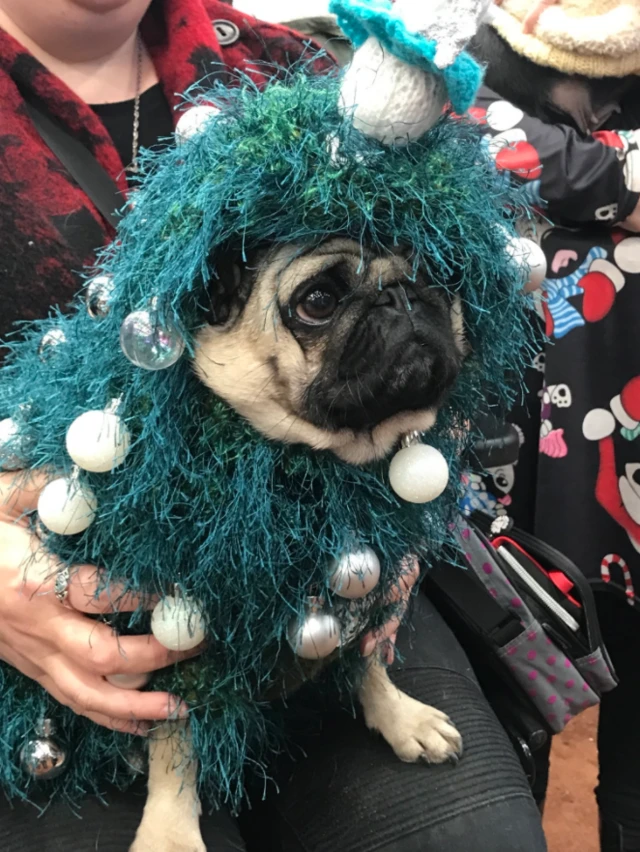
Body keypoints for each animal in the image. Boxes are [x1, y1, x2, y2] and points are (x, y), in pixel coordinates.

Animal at [130, 236, 464, 852]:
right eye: (318, 301)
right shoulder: (175, 636)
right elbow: (175, 738)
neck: (313, 471)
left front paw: (401, 718)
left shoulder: (365, 591)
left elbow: (367, 661)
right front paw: (170, 833)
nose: (400, 294)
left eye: (435, 273)